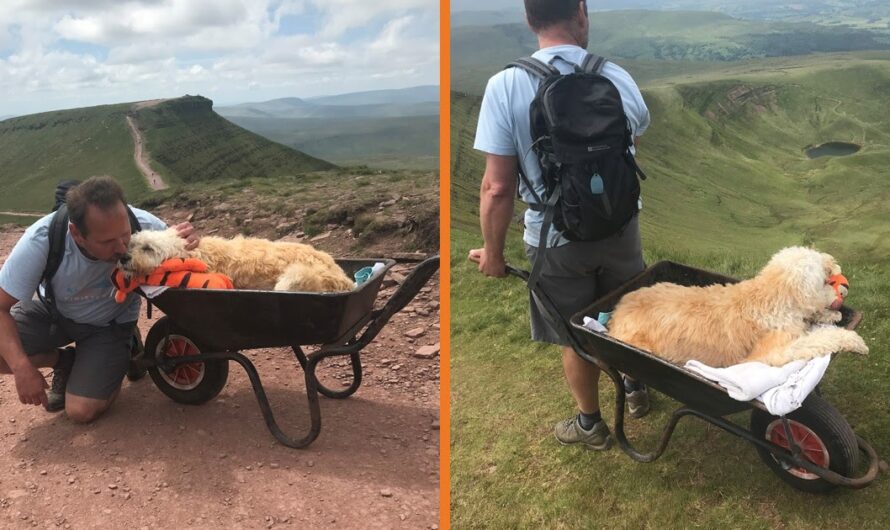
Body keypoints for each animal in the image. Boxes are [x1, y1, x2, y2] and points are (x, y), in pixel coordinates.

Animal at [608, 245, 864, 366]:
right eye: (825, 278)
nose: (844, 283)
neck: (772, 298)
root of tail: (615, 312)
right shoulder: (774, 352)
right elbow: (818, 339)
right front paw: (854, 341)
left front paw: (830, 317)